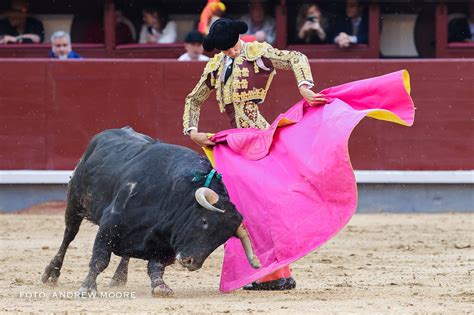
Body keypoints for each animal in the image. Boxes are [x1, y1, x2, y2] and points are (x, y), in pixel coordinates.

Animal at [41, 128, 260, 296]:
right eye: (204, 221)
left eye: (222, 240)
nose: (191, 262)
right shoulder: (110, 224)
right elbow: (100, 259)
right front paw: (87, 288)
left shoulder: (164, 244)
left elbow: (156, 266)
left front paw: (160, 287)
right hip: (75, 203)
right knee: (68, 236)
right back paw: (51, 273)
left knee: (125, 254)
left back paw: (119, 277)